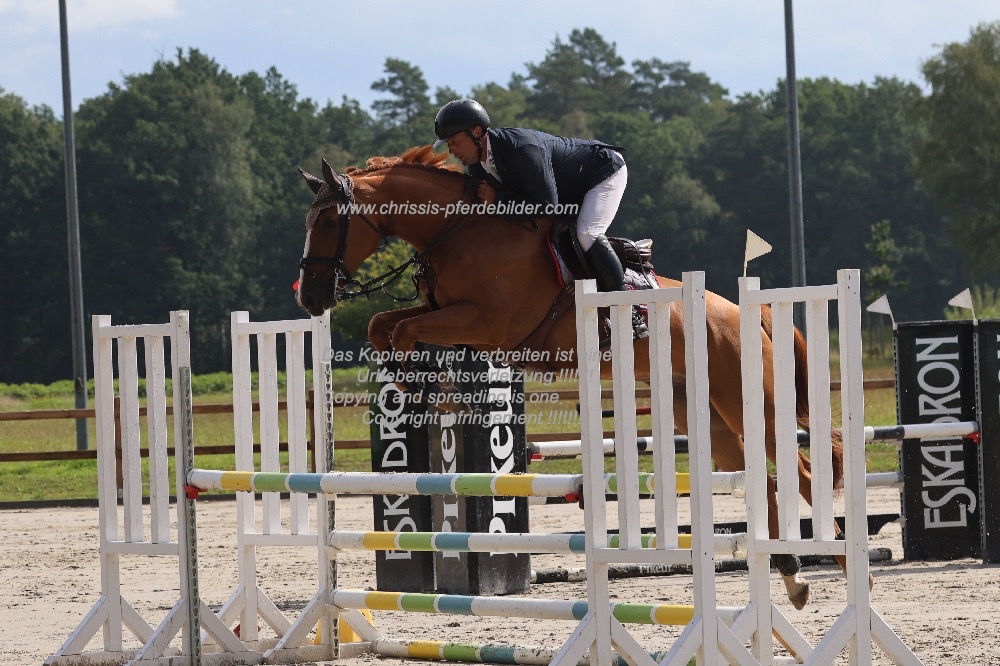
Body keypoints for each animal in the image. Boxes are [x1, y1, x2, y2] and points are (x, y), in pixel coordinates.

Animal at [294, 144, 852, 608]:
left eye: (329, 220)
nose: (311, 297)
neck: (459, 231)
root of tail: (743, 313)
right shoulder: (448, 314)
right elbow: (382, 324)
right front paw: (406, 384)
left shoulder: (487, 324)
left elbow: (405, 328)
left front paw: (413, 384)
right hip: (702, 415)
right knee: (767, 481)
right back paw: (793, 577)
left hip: (750, 402)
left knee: (803, 474)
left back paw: (845, 568)